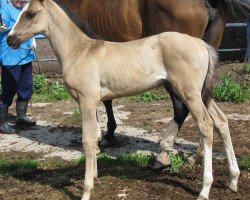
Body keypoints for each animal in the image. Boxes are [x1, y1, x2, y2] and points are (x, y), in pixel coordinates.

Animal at [55, 0, 250, 169]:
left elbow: (105, 102)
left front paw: (105, 137)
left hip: (177, 81)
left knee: (182, 109)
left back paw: (163, 156)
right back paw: (196, 157)